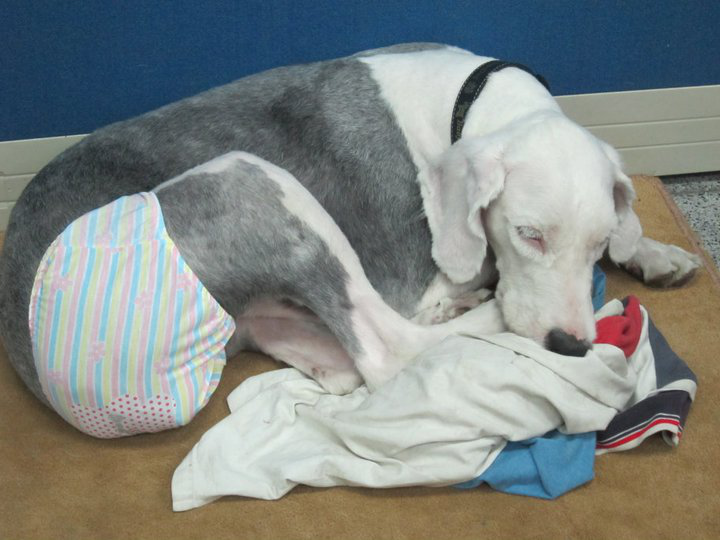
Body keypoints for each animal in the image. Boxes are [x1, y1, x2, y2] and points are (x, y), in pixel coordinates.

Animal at [0, 43, 701, 416]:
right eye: (528, 234)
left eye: (596, 243)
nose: (571, 345)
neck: (467, 100)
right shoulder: (411, 275)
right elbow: (461, 274)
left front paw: (653, 250)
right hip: (248, 180)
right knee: (391, 353)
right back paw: (477, 315)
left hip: (266, 312)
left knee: (345, 366)